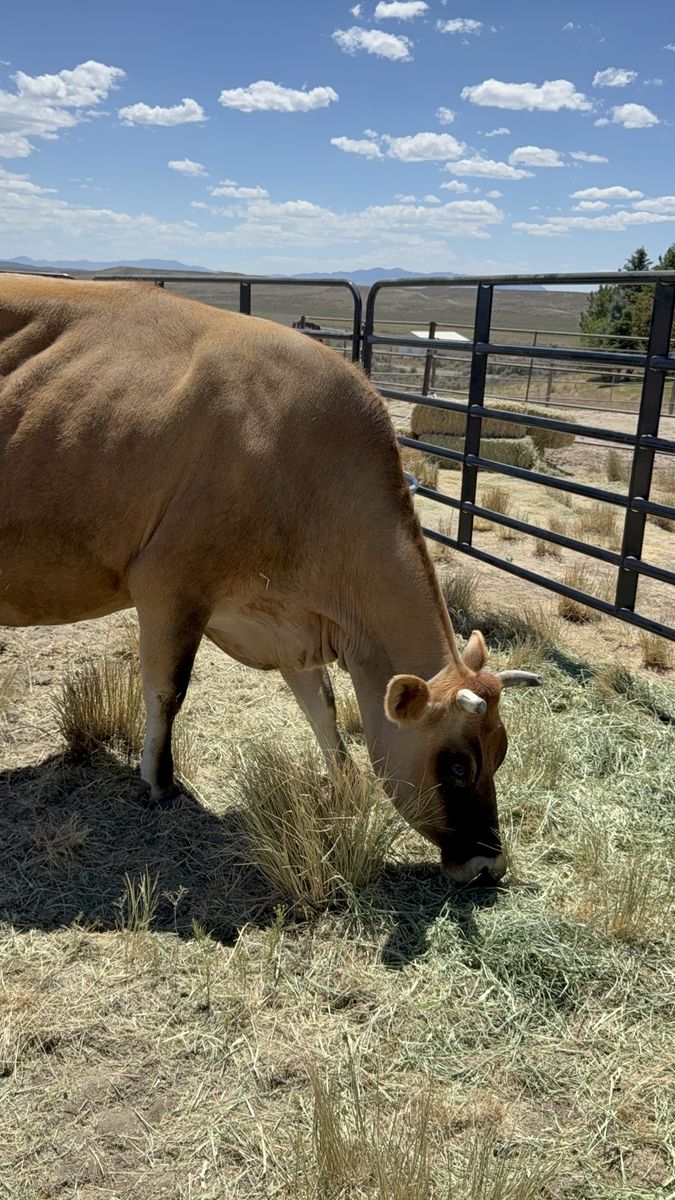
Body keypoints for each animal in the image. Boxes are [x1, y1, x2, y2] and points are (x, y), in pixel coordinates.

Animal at [0, 274, 540, 885]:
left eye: (501, 750)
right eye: (457, 764)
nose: (489, 861)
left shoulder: (288, 625)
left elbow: (322, 705)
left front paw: (345, 784)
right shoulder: (170, 585)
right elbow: (167, 690)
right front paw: (159, 783)